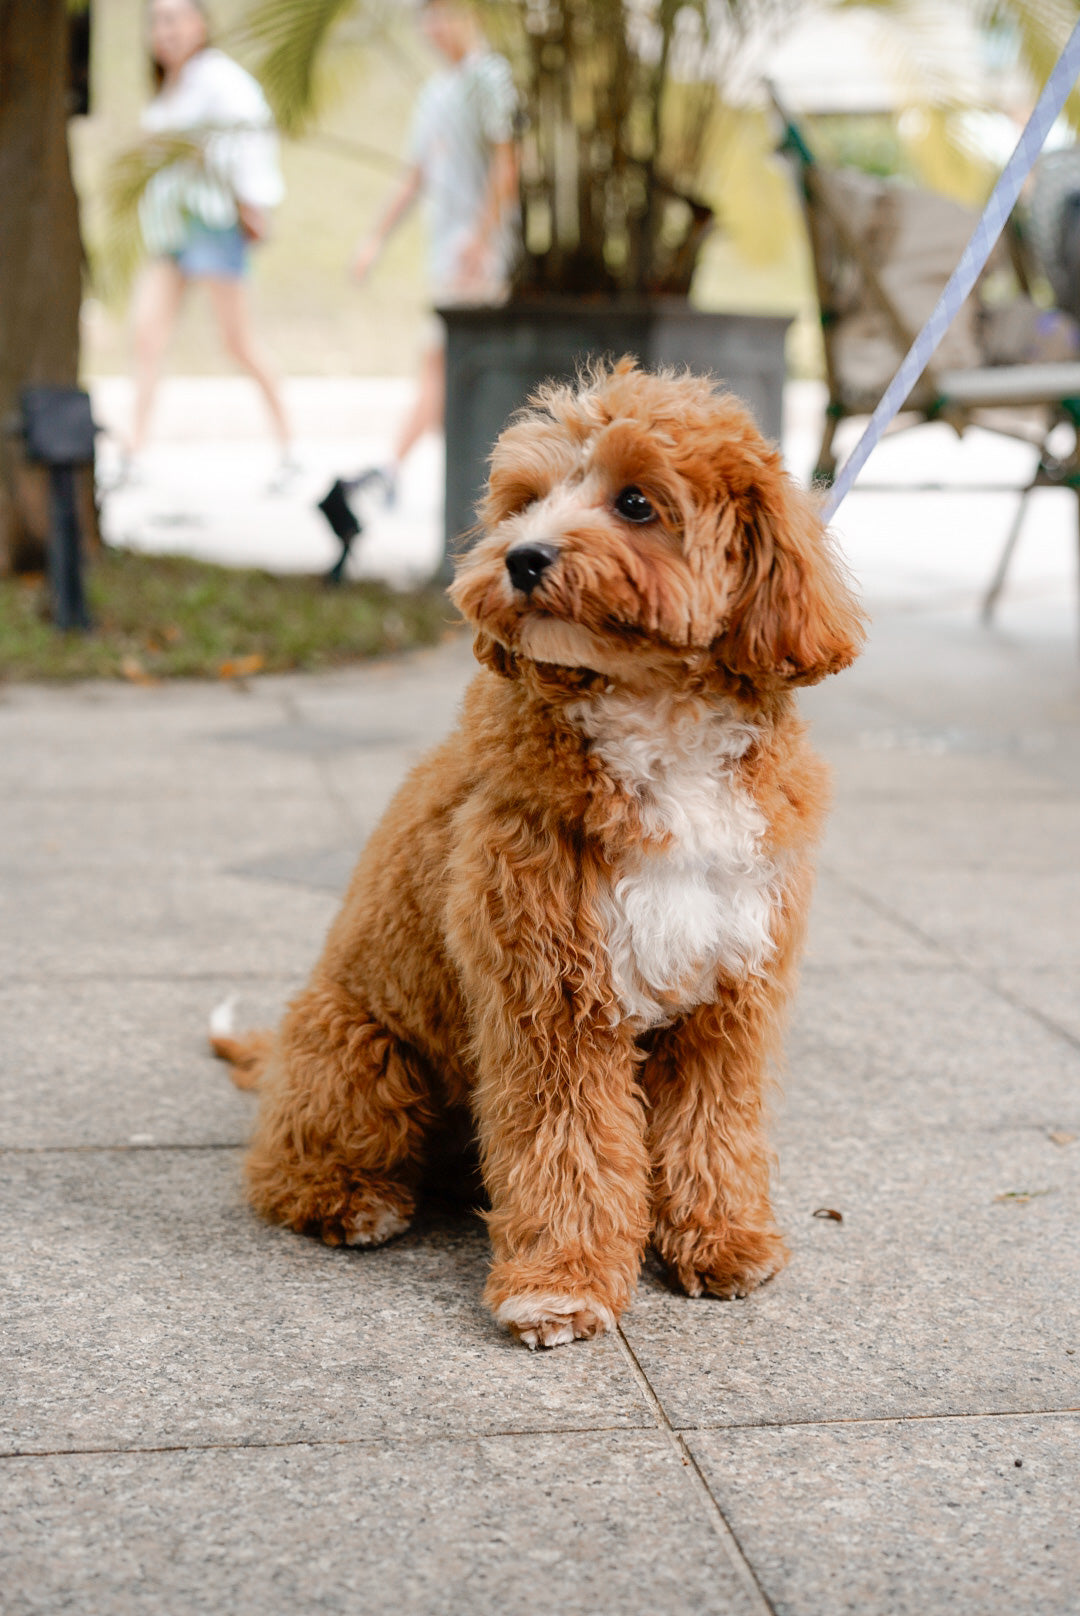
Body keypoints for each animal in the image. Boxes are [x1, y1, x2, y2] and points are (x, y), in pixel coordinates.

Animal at [215, 363, 866, 1350]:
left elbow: (714, 1126)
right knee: (283, 1169)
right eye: (523, 503)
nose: (521, 558)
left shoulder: (727, 1000)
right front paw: (559, 1283)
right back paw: (354, 1201)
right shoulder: (552, 1000)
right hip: (360, 1053)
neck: (659, 725)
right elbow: (568, 1146)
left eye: (635, 501)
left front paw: (720, 1241)